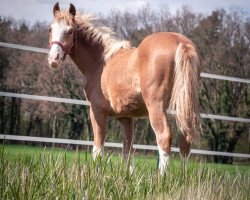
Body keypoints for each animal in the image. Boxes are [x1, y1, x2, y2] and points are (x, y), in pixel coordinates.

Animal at [48, 2, 201, 173]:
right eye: (50, 29)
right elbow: (128, 151)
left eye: (70, 31)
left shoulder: (97, 111)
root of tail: (180, 41)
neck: (101, 62)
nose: (53, 59)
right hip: (183, 106)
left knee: (164, 137)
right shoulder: (126, 118)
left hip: (156, 106)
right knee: (185, 140)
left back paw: (161, 177)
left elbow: (98, 148)